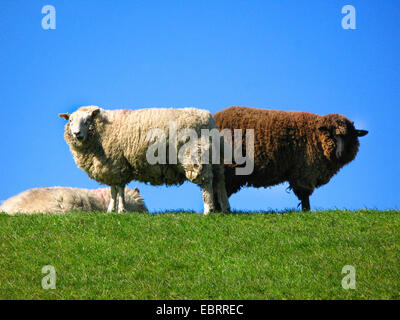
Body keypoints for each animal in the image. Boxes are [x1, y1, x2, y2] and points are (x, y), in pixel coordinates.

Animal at [57, 105, 230, 215]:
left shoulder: (116, 165)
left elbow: (119, 189)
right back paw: (225, 209)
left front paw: (121, 210)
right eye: (70, 121)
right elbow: (113, 190)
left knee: (206, 182)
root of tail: (207, 118)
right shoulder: (113, 168)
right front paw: (111, 210)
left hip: (194, 154)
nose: (77, 134)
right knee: (219, 180)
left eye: (87, 121)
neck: (101, 131)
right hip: (214, 156)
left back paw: (208, 210)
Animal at [212, 106, 368, 211]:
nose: (341, 154)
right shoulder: (305, 171)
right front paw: (306, 211)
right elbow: (304, 194)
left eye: (350, 136)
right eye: (334, 135)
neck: (316, 136)